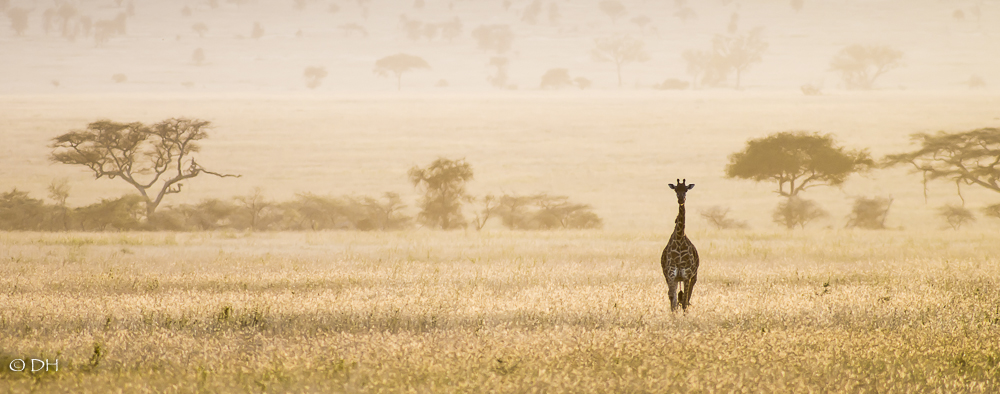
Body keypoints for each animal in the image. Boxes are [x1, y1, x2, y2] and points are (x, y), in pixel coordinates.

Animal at [660, 180, 700, 312]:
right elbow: (673, 299)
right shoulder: (671, 275)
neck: (679, 238)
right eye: (676, 189)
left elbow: (684, 300)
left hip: (694, 277)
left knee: (687, 298)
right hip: (674, 278)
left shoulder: (687, 275)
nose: (681, 199)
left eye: (686, 189)